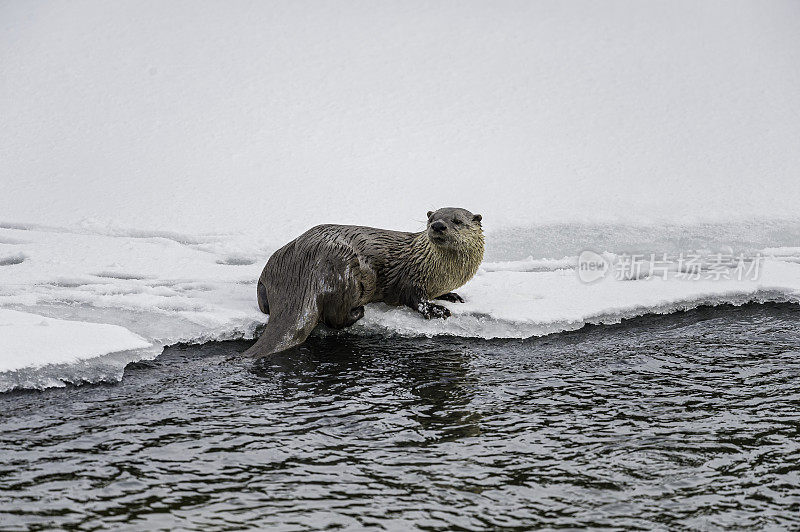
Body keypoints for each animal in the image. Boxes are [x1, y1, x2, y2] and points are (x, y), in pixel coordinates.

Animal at [244, 207, 482, 358]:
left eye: (457, 221)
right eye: (431, 220)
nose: (438, 225)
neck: (443, 272)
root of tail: (302, 266)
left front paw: (451, 296)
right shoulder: (410, 277)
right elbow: (413, 297)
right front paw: (435, 310)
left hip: (269, 276)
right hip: (347, 272)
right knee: (335, 317)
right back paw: (358, 312)